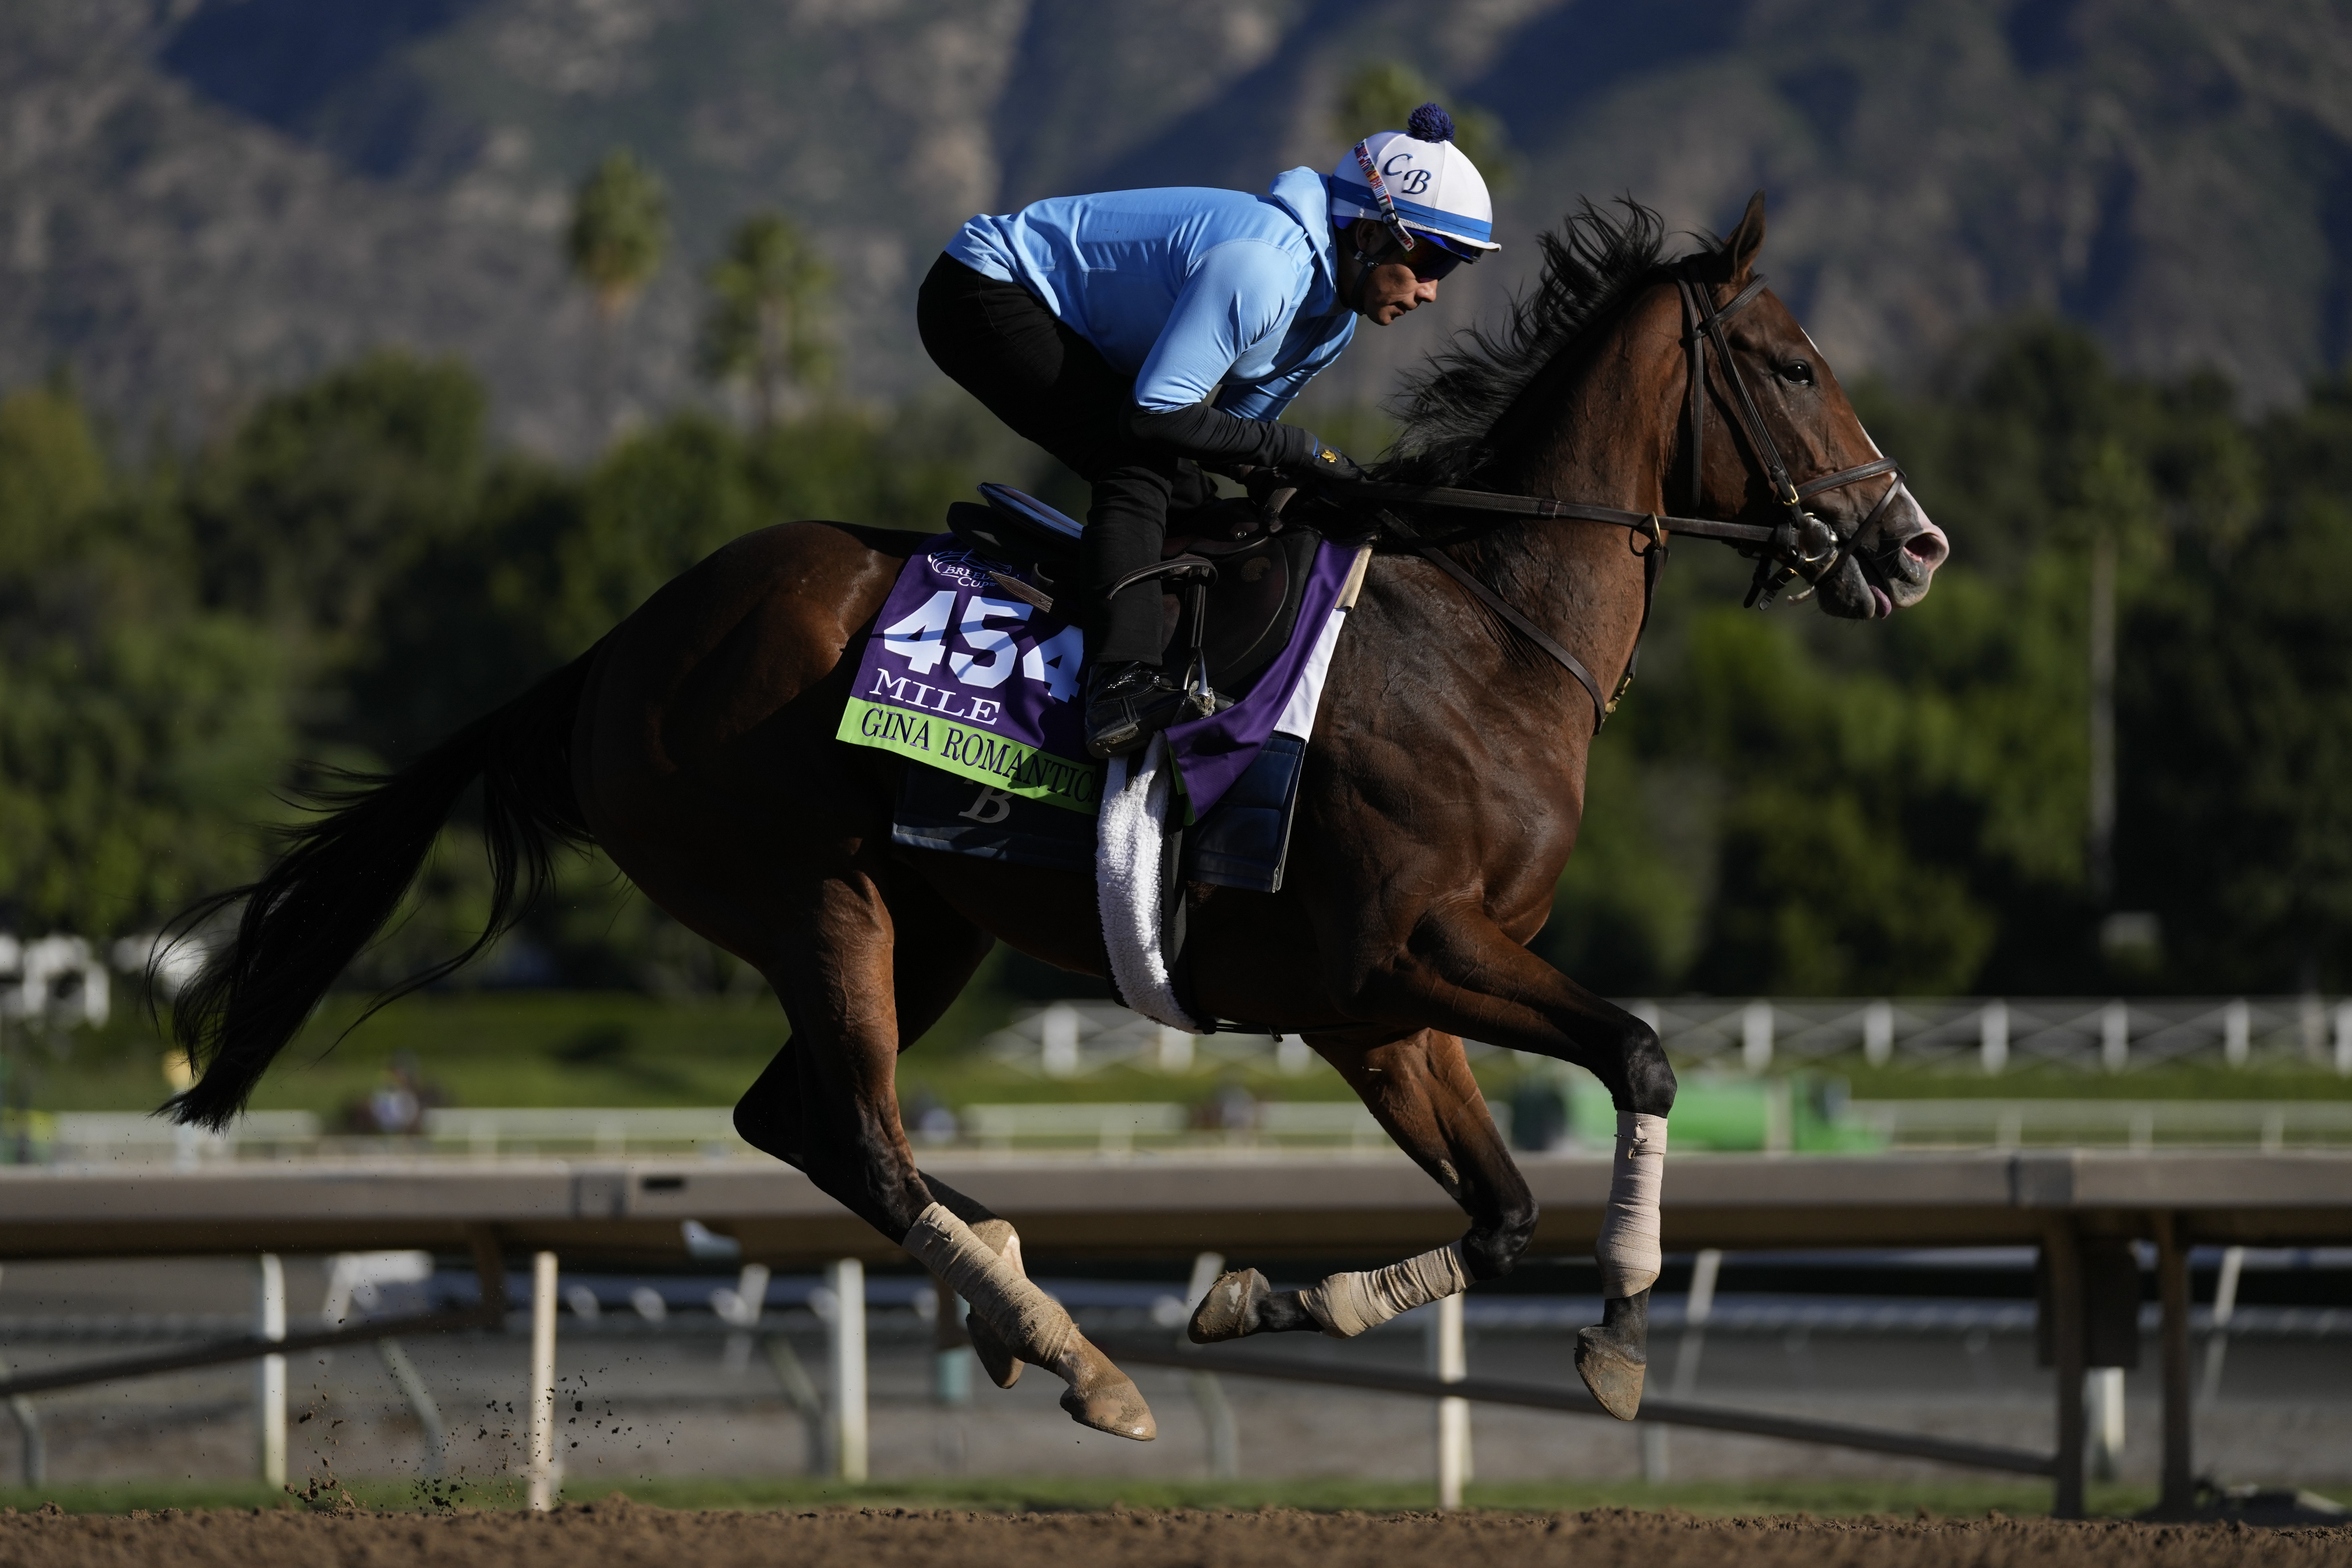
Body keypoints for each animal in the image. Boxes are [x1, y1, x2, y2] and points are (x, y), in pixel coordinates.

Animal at [163, 193, 1949, 1442]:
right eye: (1794, 365)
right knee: (862, 1134)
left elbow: (1500, 1206)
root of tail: (613, 649)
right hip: (814, 892)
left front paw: (1257, 1296)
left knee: (795, 1118)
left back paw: (1020, 1288)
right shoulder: (1404, 951)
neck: (1482, 632)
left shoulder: (1376, 1005)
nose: (1912, 542)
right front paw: (1623, 1322)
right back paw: (1064, 1344)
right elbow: (1640, 1052)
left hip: (928, 917)